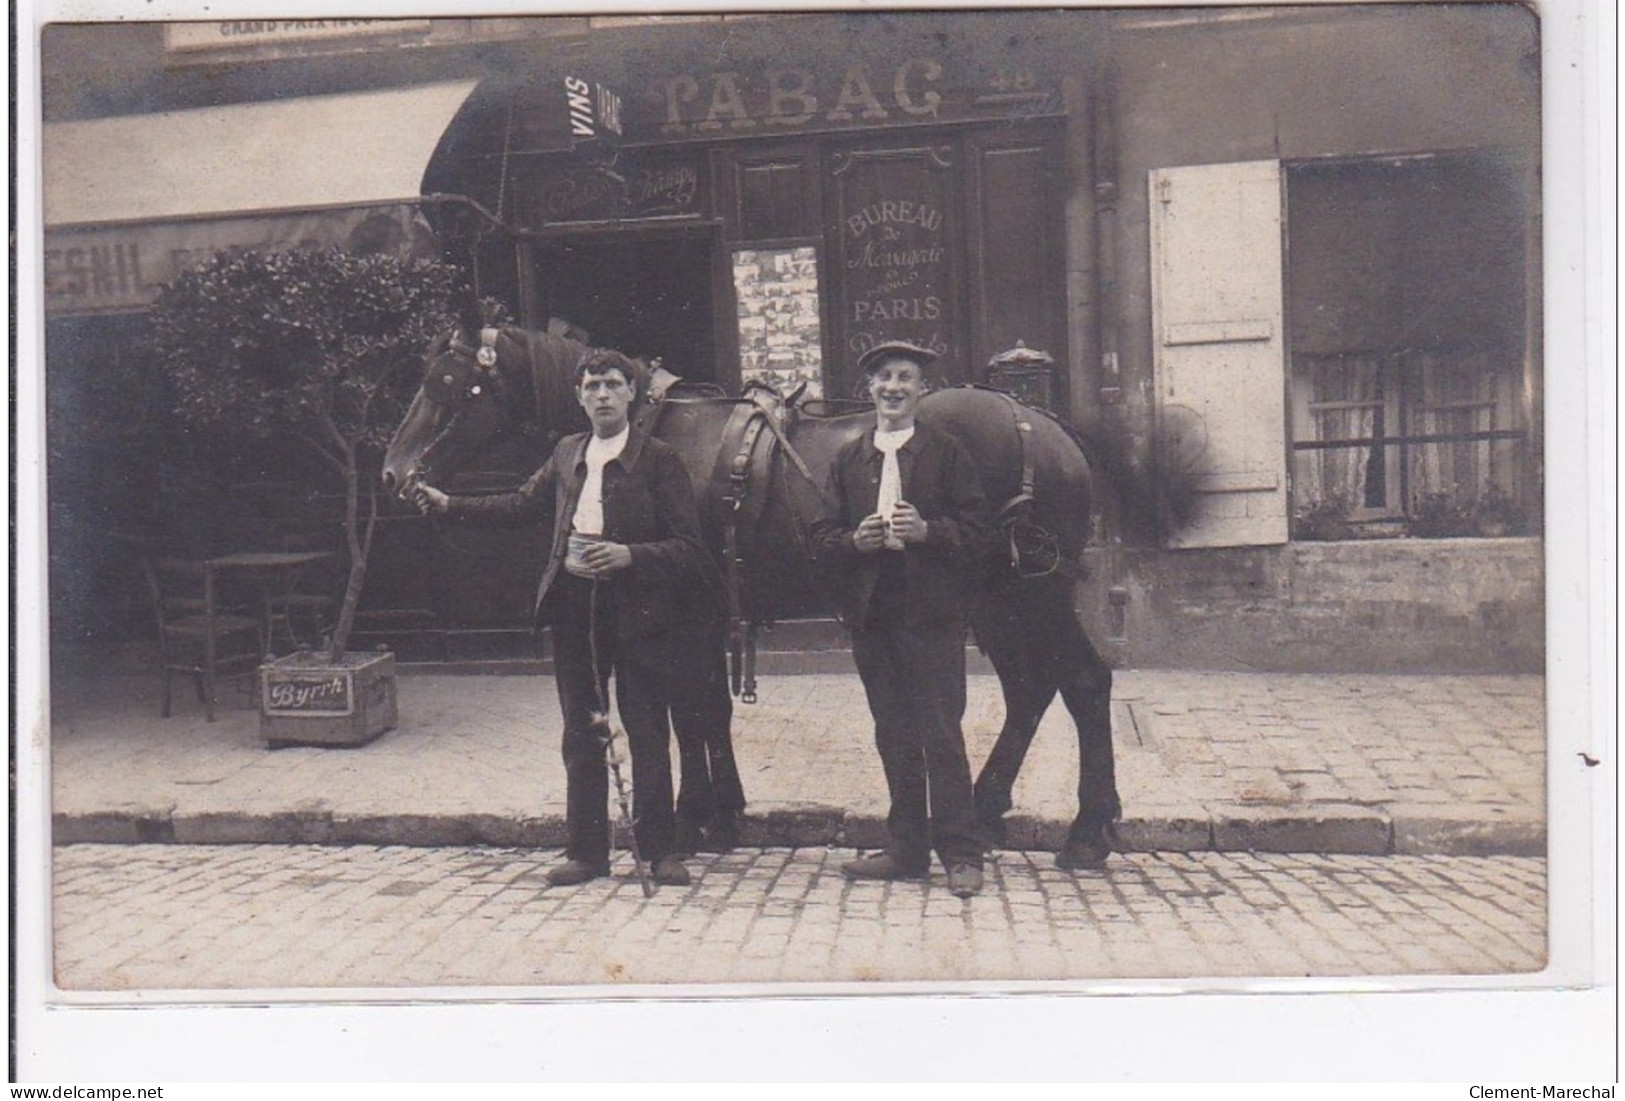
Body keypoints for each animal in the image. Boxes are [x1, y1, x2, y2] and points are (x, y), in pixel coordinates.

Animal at [386, 328, 1131, 870]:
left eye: (451, 386)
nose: (396, 473)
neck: (652, 430)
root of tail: (1041, 422)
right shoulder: (710, 611)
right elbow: (706, 713)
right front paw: (722, 813)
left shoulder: (690, 611)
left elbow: (689, 714)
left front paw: (693, 816)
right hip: (994, 602)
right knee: (1031, 688)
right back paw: (986, 806)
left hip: (1033, 592)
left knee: (1083, 683)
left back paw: (1087, 830)